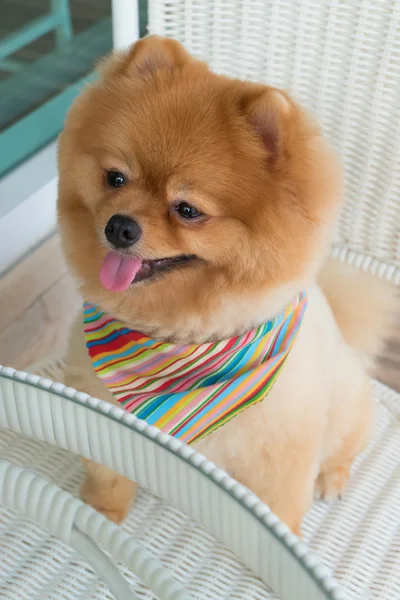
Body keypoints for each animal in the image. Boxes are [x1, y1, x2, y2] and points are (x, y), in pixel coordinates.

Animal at [57, 36, 394, 536]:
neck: (177, 338)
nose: (120, 226)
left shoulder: (280, 451)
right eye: (115, 178)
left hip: (347, 408)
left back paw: (332, 478)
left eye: (188, 210)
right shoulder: (98, 411)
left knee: (342, 449)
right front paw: (102, 512)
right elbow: (108, 474)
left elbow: (280, 510)